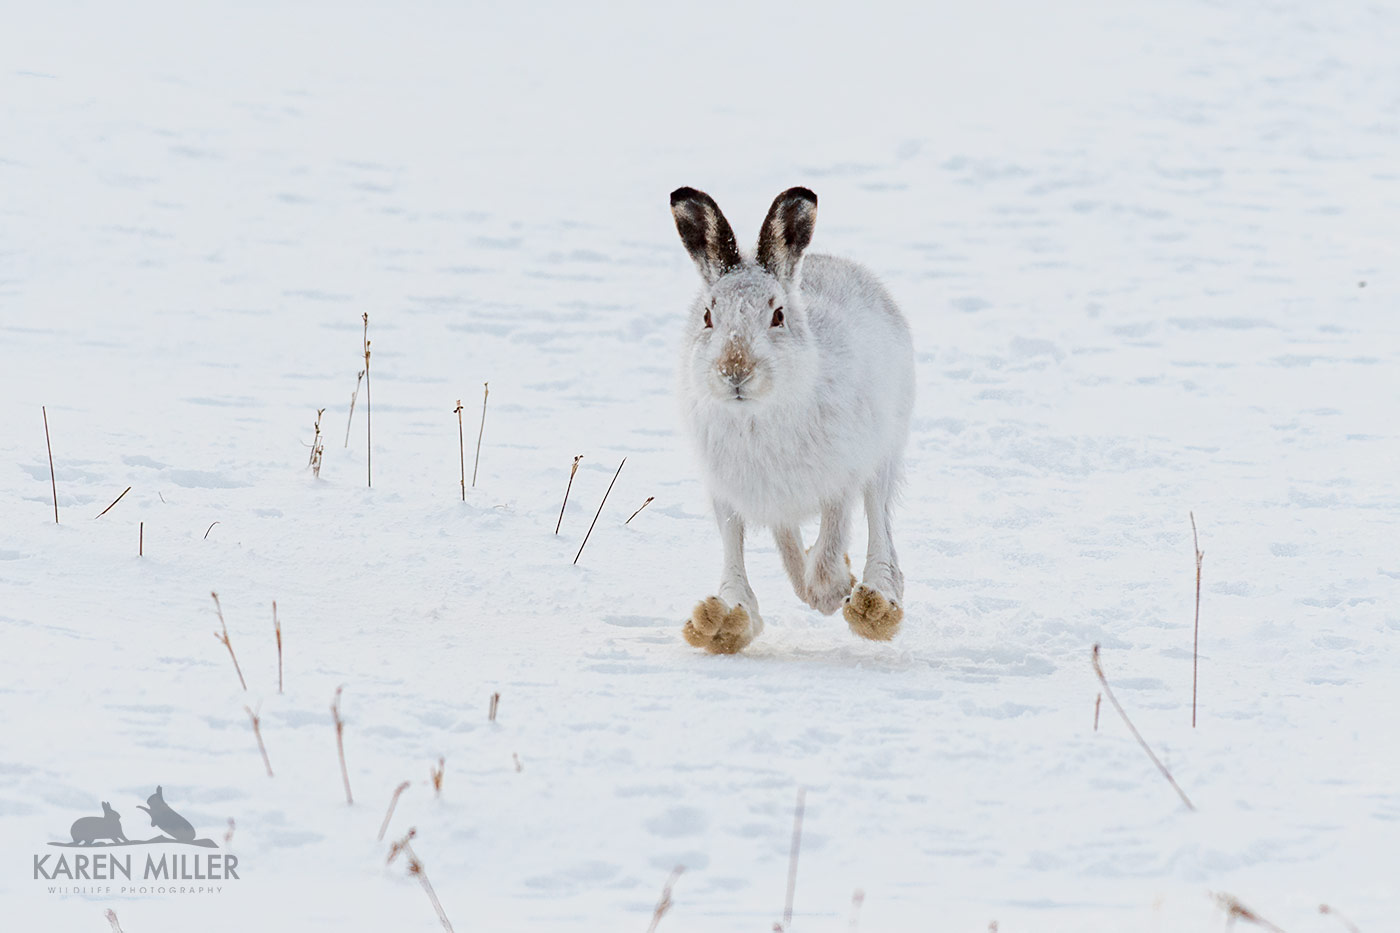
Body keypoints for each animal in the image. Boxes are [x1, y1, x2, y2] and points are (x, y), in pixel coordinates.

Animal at [670, 186, 915, 653]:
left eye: (778, 315)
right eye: (708, 317)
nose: (735, 372)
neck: (757, 413)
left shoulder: (842, 471)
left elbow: (833, 534)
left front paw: (834, 591)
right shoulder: (734, 491)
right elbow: (737, 547)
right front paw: (725, 620)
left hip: (886, 446)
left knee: (878, 520)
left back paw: (874, 602)